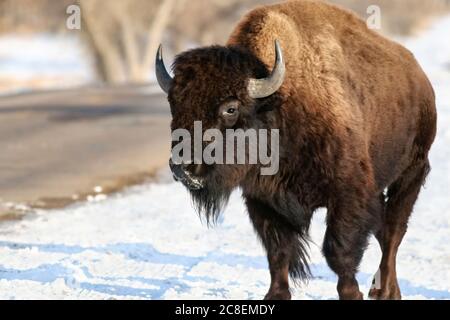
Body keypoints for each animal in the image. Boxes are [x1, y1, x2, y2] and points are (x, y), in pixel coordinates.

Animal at [154, 0, 436, 300]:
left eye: (231, 108)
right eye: (174, 103)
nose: (183, 168)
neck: (279, 105)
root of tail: (420, 78)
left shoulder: (348, 196)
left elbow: (339, 252)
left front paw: (352, 293)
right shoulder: (263, 201)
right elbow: (278, 252)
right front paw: (275, 295)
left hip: (411, 173)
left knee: (392, 234)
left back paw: (383, 292)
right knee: (385, 233)